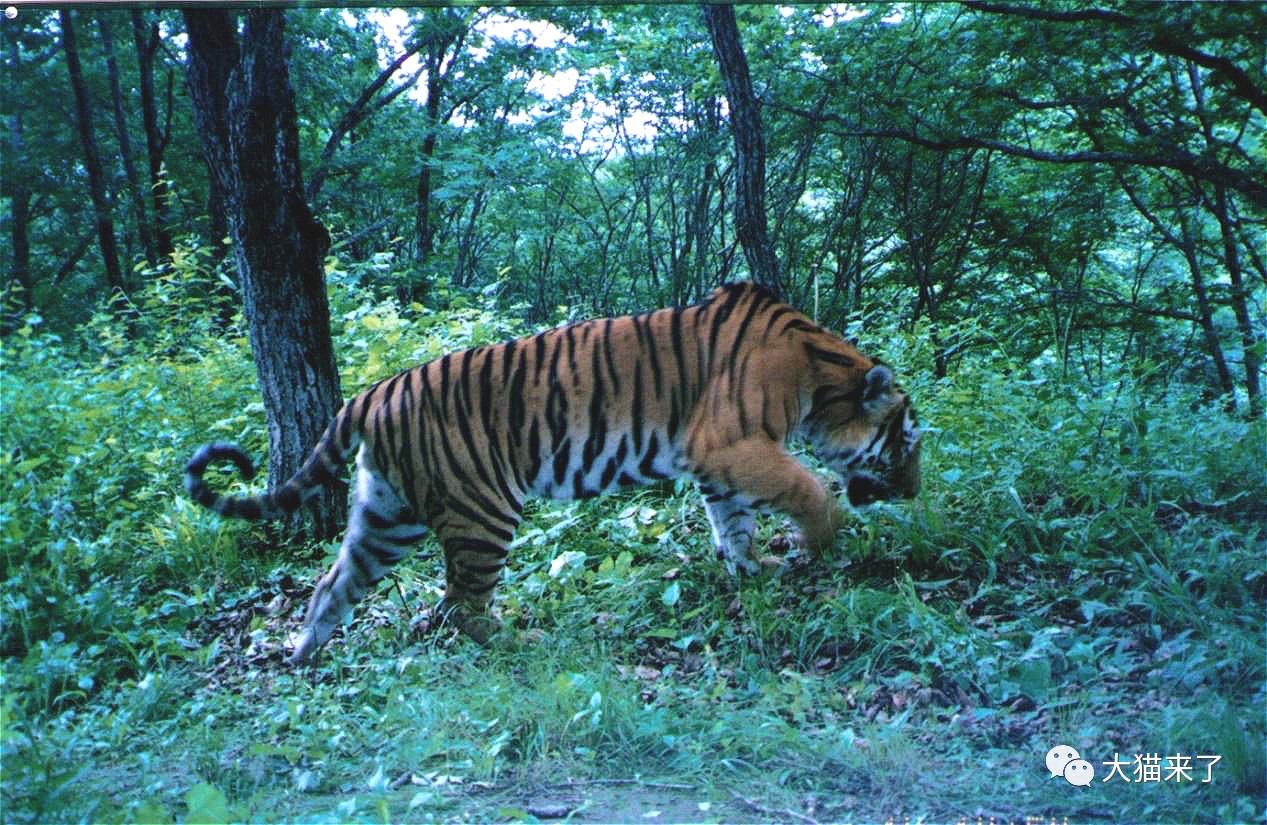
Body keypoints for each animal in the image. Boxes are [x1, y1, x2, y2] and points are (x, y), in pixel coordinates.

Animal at [185, 282, 921, 664]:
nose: (916, 492)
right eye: (907, 444)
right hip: (482, 512)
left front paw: (752, 569)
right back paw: (523, 639)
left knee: (333, 583)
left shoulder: (718, 461)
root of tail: (374, 392)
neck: (818, 375)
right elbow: (808, 487)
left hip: (387, 516)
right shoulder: (734, 443)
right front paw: (818, 544)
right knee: (461, 606)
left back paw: (303, 654)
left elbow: (731, 520)